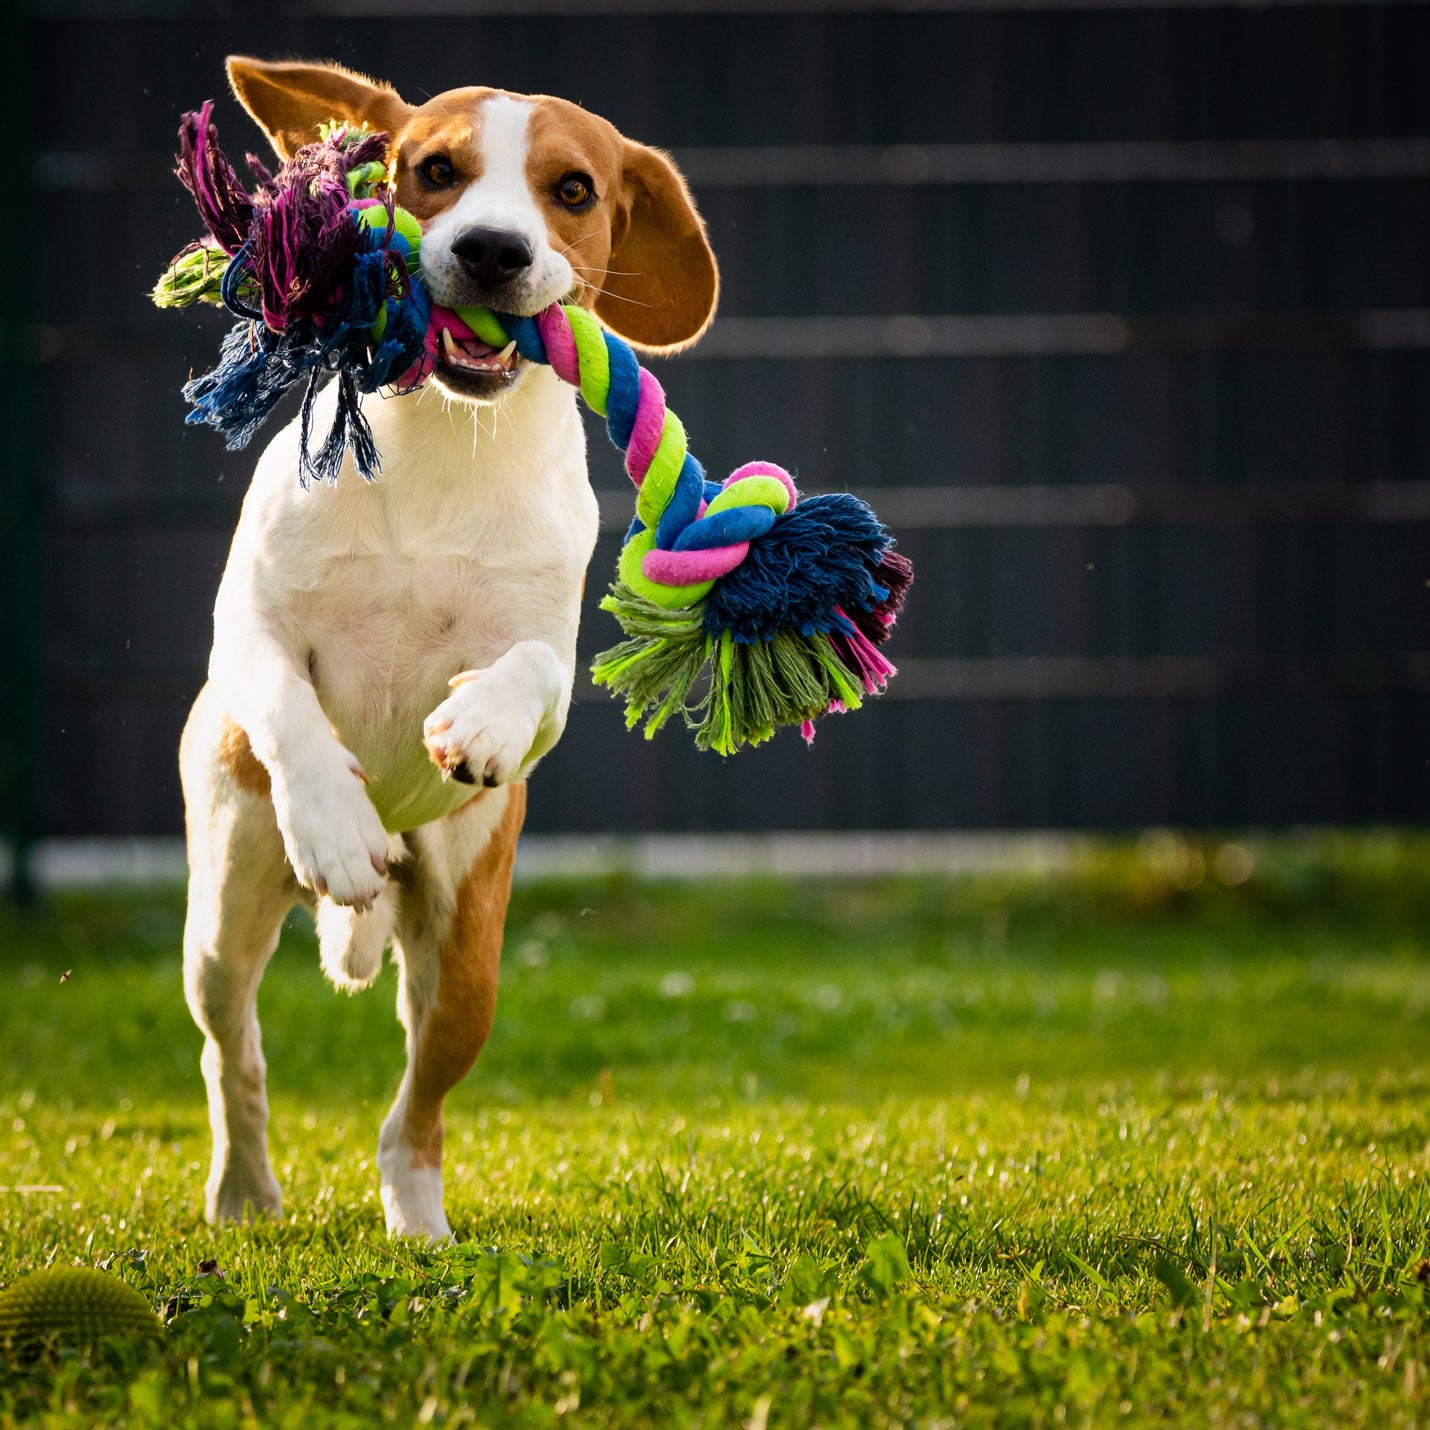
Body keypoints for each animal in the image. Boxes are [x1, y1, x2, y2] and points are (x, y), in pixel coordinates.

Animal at [184, 58, 720, 1241]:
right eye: (434, 170)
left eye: (572, 190)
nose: (492, 252)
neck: (444, 440)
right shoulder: (248, 625)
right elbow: (284, 699)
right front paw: (333, 822)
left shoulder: (550, 644)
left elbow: (534, 672)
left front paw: (476, 721)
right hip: (225, 901)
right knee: (232, 1053)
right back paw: (243, 1190)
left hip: (467, 948)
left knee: (414, 1110)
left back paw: (418, 1225)